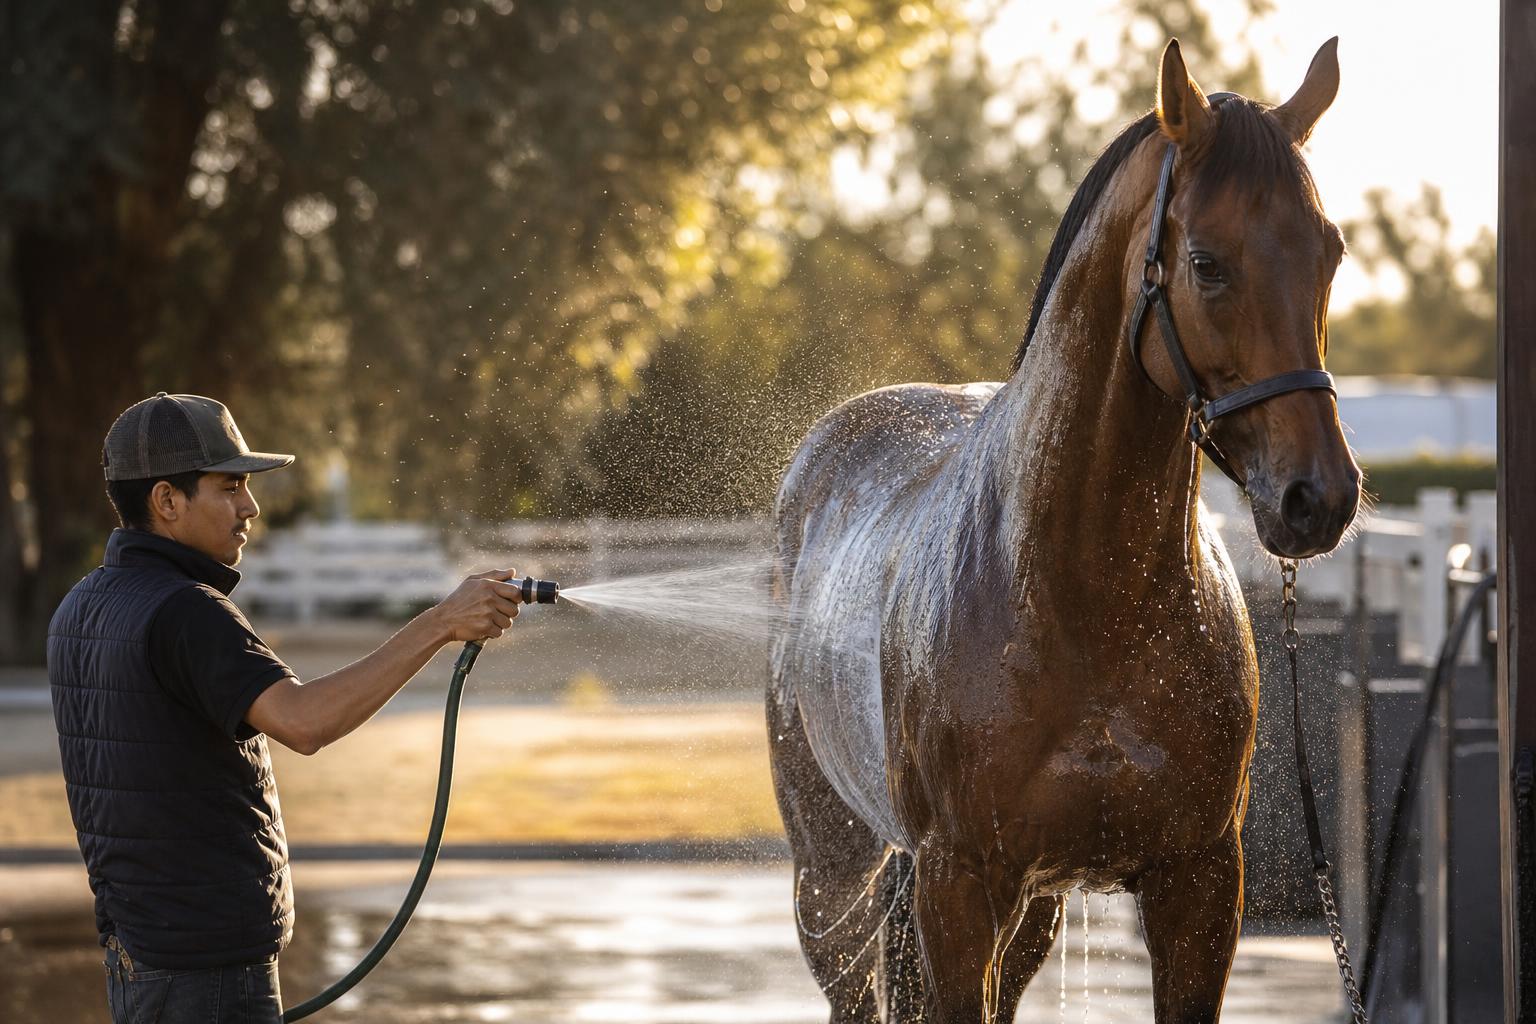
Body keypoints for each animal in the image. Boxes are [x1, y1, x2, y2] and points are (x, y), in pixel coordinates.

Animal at [767, 37, 1360, 1024]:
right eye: (1207, 263)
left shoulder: (1200, 886)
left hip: (1028, 911)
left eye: (1331, 251)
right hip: (834, 877)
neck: (1078, 592)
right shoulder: (959, 888)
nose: (1319, 496)